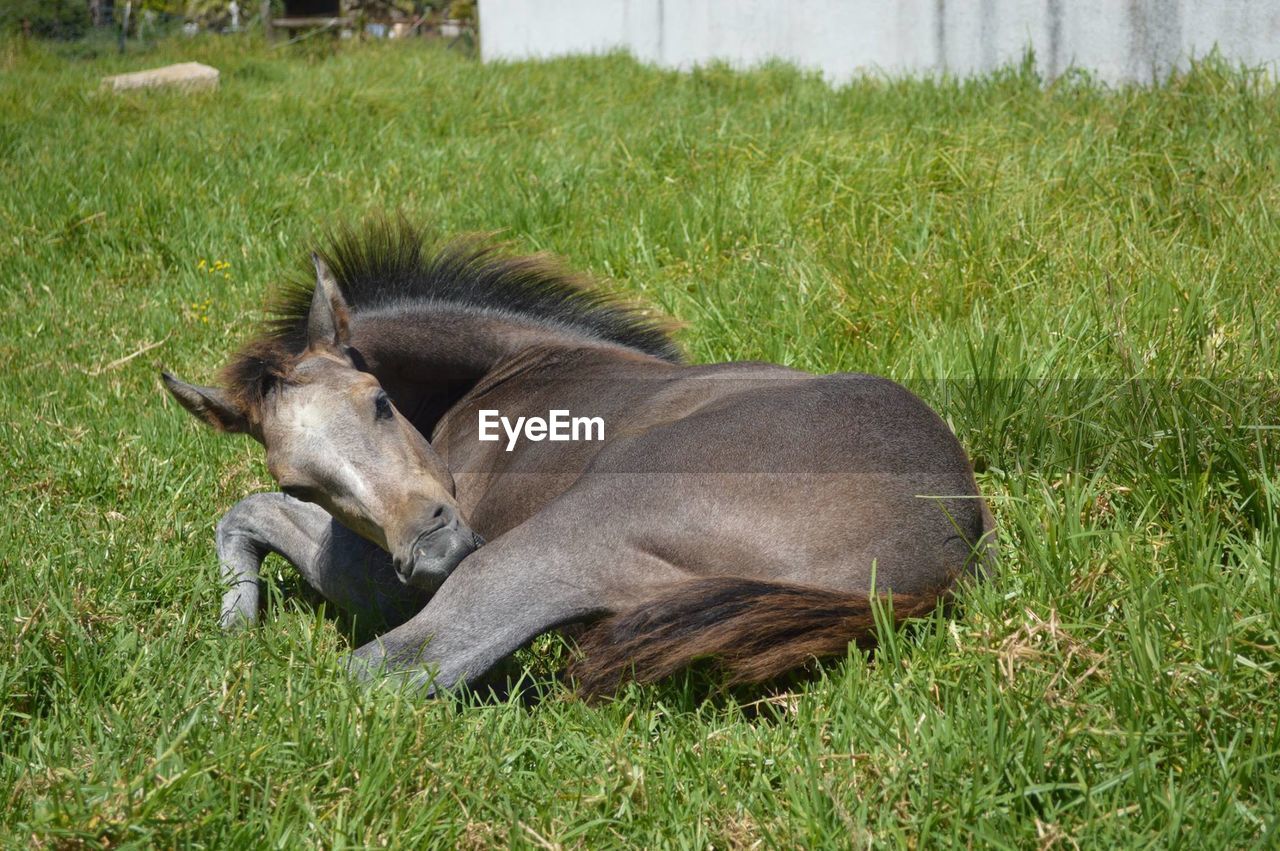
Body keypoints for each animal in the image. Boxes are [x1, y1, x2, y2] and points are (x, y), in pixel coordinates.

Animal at [160, 220, 993, 696]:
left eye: (380, 400)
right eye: (301, 476)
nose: (434, 552)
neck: (506, 373)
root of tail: (938, 557)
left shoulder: (378, 575)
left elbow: (250, 512)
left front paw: (235, 617)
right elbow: (255, 508)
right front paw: (237, 613)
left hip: (563, 538)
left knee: (388, 669)